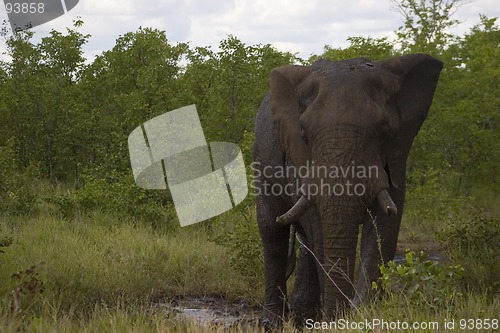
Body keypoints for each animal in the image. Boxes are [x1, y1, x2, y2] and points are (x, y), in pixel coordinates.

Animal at [254, 53, 442, 326]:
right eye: (303, 132)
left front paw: (364, 316)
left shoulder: (395, 157)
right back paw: (273, 323)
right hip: (261, 159)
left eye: (385, 130)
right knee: (272, 231)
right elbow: (318, 229)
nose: (337, 318)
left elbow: (385, 227)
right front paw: (338, 319)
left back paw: (304, 317)